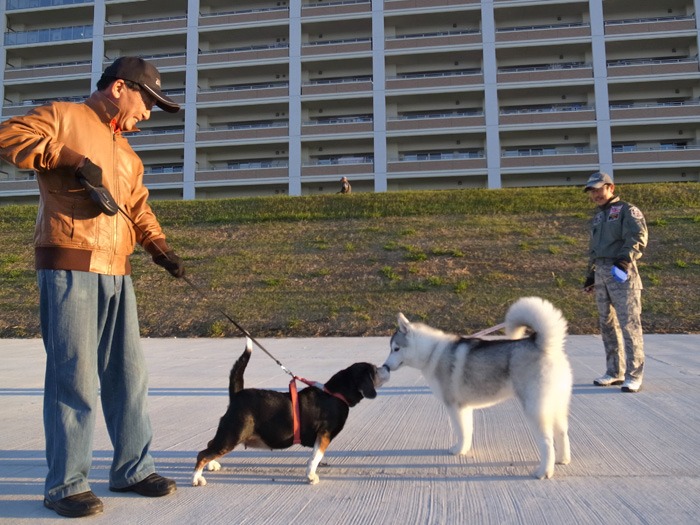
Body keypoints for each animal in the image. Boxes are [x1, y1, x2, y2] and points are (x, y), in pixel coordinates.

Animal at [193, 338, 388, 486]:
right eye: (374, 370)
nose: (386, 367)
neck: (335, 394)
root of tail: (237, 394)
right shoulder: (324, 435)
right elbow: (315, 457)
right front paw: (311, 477)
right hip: (232, 436)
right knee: (202, 454)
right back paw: (197, 479)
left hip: (228, 435)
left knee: (210, 445)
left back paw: (212, 466)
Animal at [382, 296, 576, 476]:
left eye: (396, 349)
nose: (385, 366)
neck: (432, 352)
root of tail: (544, 345)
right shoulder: (464, 407)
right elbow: (467, 431)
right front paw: (464, 449)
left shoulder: (454, 406)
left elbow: (460, 431)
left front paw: (458, 450)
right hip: (557, 405)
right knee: (562, 432)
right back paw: (563, 459)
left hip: (535, 410)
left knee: (547, 442)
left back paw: (544, 471)